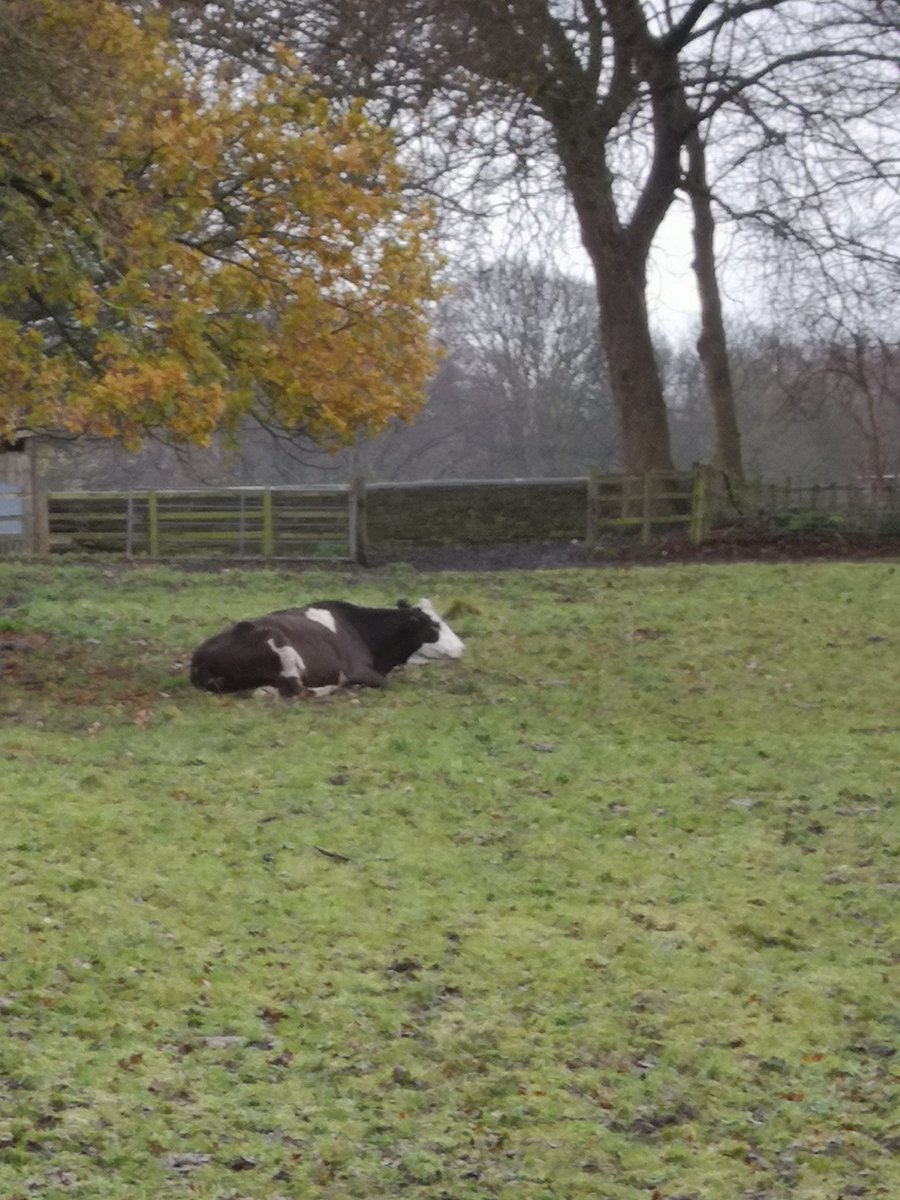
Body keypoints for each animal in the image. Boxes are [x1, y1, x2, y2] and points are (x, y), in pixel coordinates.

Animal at [189, 598, 459, 699]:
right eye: (434, 626)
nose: (461, 647)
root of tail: (199, 659)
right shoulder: (359, 669)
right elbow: (384, 682)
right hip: (280, 645)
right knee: (298, 690)